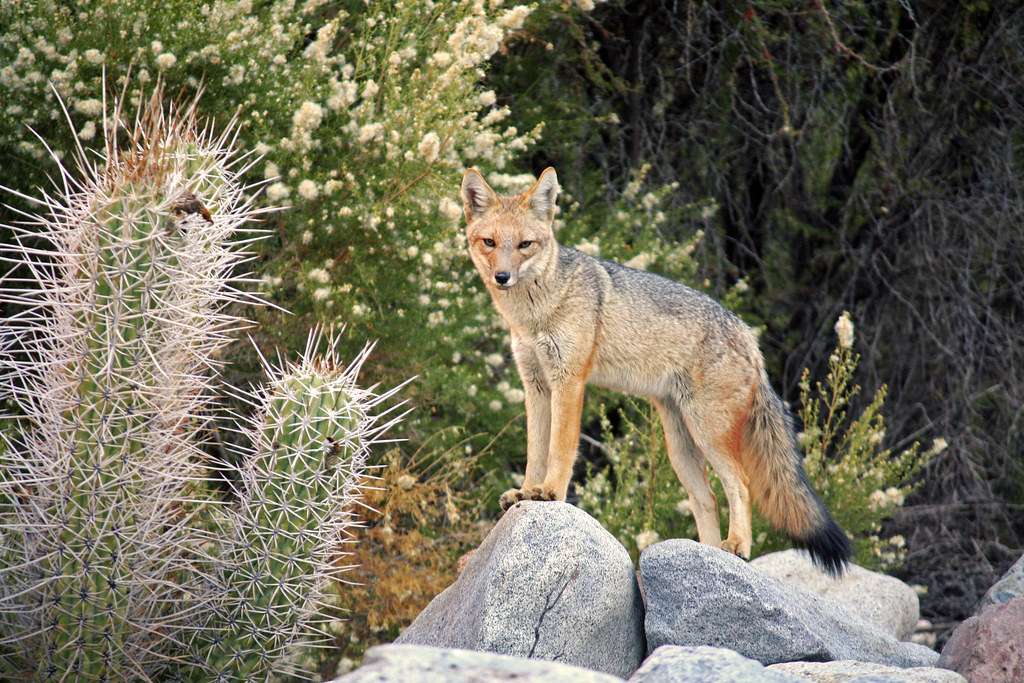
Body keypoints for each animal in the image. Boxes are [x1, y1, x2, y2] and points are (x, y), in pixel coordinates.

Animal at [464, 166, 856, 577]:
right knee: (708, 498)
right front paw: (526, 491)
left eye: (525, 244)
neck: (534, 313)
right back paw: (707, 554)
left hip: (707, 433)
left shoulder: (569, 382)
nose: (502, 277)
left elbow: (559, 449)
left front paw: (550, 492)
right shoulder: (536, 386)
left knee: (741, 485)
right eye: (490, 242)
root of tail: (747, 334)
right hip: (681, 446)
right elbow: (535, 452)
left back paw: (737, 545)